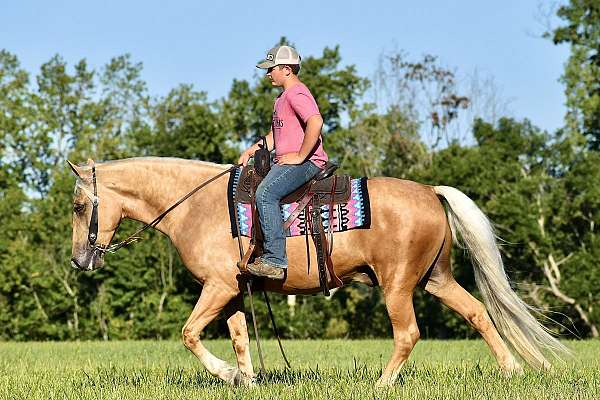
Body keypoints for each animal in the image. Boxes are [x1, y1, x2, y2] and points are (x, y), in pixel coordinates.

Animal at [68, 158, 568, 386]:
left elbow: (190, 334)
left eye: (77, 206)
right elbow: (239, 338)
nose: (78, 259)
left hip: (398, 286)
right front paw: (247, 379)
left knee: (408, 334)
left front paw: (229, 375)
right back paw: (513, 371)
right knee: (479, 313)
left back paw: (381, 385)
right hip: (437, 278)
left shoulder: (217, 286)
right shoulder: (232, 291)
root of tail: (430, 191)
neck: (196, 206)